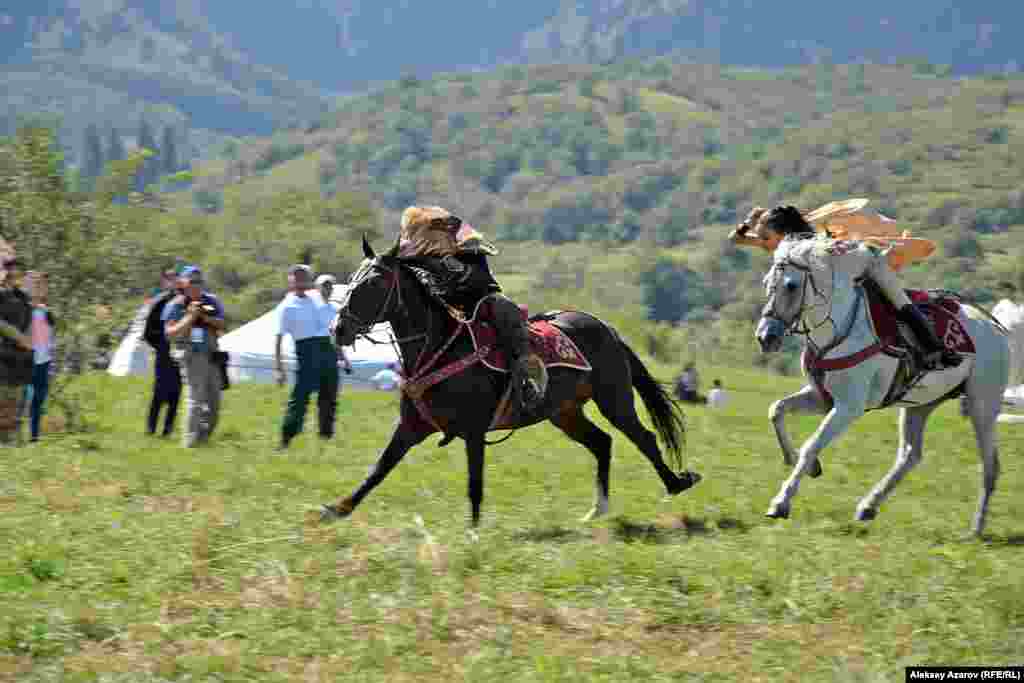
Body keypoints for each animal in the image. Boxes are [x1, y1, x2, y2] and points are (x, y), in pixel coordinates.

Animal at [323, 237, 700, 528]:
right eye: (352, 279)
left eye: (373, 283)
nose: (337, 329)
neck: (441, 346)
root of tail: (607, 328)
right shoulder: (411, 427)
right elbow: (378, 469)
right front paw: (338, 509)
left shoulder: (474, 431)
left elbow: (475, 483)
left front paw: (473, 533)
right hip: (564, 412)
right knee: (602, 442)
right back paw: (598, 510)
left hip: (614, 399)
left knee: (643, 438)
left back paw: (676, 483)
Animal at [757, 237, 1011, 536]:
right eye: (767, 283)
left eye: (791, 285)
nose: (766, 337)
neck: (840, 327)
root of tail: (996, 329)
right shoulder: (822, 399)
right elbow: (777, 410)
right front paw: (802, 463)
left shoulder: (849, 407)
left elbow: (811, 445)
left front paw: (781, 502)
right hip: (920, 404)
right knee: (911, 454)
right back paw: (869, 505)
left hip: (982, 405)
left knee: (990, 465)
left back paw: (976, 528)